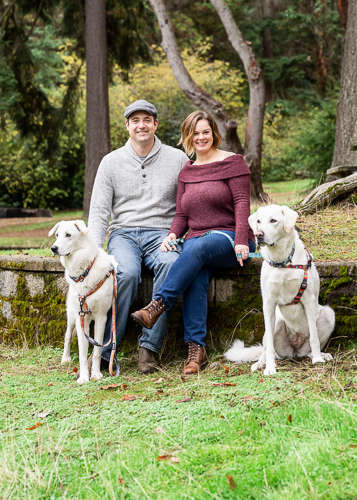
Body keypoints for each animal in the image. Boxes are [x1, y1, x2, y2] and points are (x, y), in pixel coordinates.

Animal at [48, 221, 117, 384]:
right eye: (57, 235)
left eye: (68, 235)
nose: (53, 248)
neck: (84, 271)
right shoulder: (82, 318)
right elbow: (82, 353)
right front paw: (84, 376)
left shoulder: (101, 317)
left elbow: (97, 350)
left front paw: (96, 374)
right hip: (73, 316)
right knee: (67, 336)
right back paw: (65, 358)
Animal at [225, 204, 334, 376]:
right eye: (258, 221)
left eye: (273, 221)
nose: (258, 234)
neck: (282, 261)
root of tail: (295, 351)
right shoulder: (269, 304)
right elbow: (269, 346)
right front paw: (270, 368)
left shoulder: (309, 299)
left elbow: (314, 337)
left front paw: (317, 359)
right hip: (276, 323)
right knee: (266, 350)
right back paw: (260, 363)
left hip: (328, 314)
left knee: (311, 344)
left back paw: (319, 355)